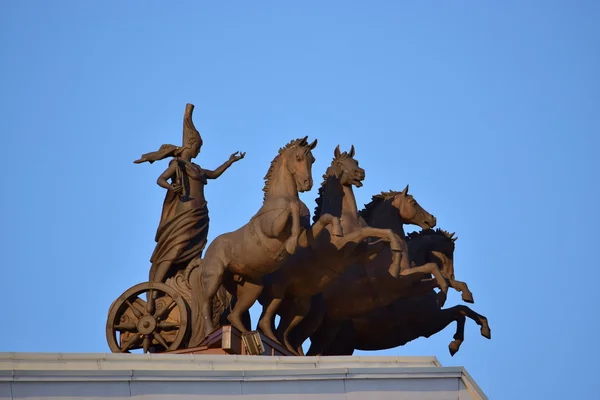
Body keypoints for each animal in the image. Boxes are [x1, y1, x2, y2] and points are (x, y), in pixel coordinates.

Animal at [188, 136, 342, 346]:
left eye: (313, 160)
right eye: (299, 157)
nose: (307, 183)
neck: (281, 197)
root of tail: (205, 256)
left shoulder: (305, 236)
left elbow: (324, 218)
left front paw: (338, 230)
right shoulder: (273, 229)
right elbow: (292, 207)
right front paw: (290, 244)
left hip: (253, 287)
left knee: (234, 315)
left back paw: (251, 335)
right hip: (214, 277)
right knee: (206, 303)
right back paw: (210, 333)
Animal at [255, 146, 438, 354]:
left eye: (356, 162)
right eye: (413, 203)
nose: (431, 220)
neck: (346, 218)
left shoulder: (367, 252)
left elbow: (382, 236)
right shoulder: (349, 249)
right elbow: (369, 235)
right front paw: (397, 259)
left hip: (308, 313)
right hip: (292, 301)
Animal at [304, 228, 488, 356]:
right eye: (449, 252)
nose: (450, 274)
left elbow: (463, 310)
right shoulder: (430, 322)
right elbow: (460, 311)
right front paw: (456, 343)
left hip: (341, 346)